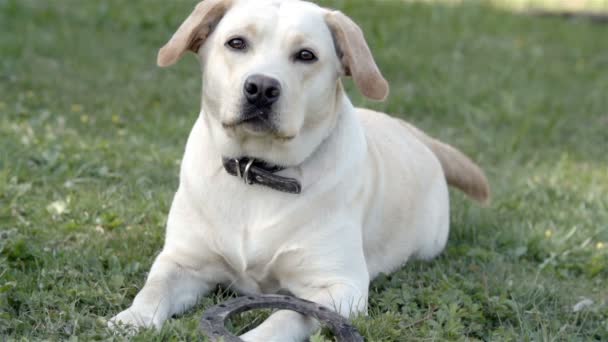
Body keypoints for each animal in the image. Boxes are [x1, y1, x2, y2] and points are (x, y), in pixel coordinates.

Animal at [108, 1, 490, 340]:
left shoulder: (340, 286)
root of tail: (411, 130)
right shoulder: (183, 261)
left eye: (306, 55)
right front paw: (130, 320)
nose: (261, 88)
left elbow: (287, 316)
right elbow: (154, 288)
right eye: (236, 43)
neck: (258, 173)